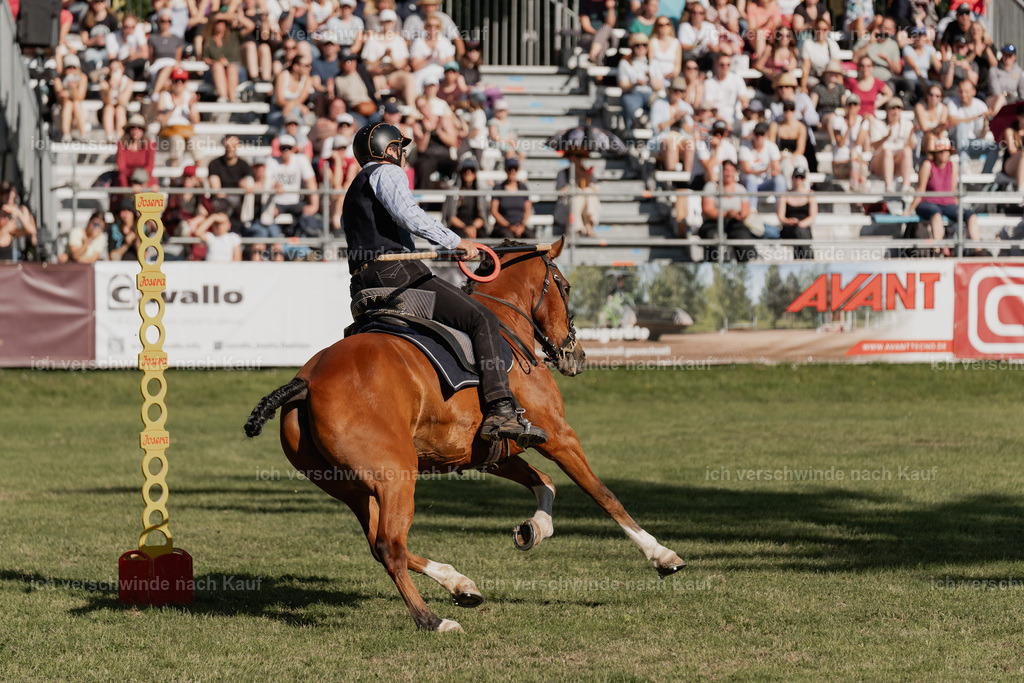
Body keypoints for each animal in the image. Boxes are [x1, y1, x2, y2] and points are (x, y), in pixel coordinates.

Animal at [244, 237, 686, 632]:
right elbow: (603, 495)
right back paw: (432, 620)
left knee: (379, 543)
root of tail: (306, 381)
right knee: (389, 546)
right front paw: (661, 555)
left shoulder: (494, 450)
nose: (575, 356)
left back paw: (460, 584)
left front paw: (533, 530)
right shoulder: (560, 436)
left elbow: (544, 484)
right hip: (396, 477)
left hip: (354, 488)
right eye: (564, 285)